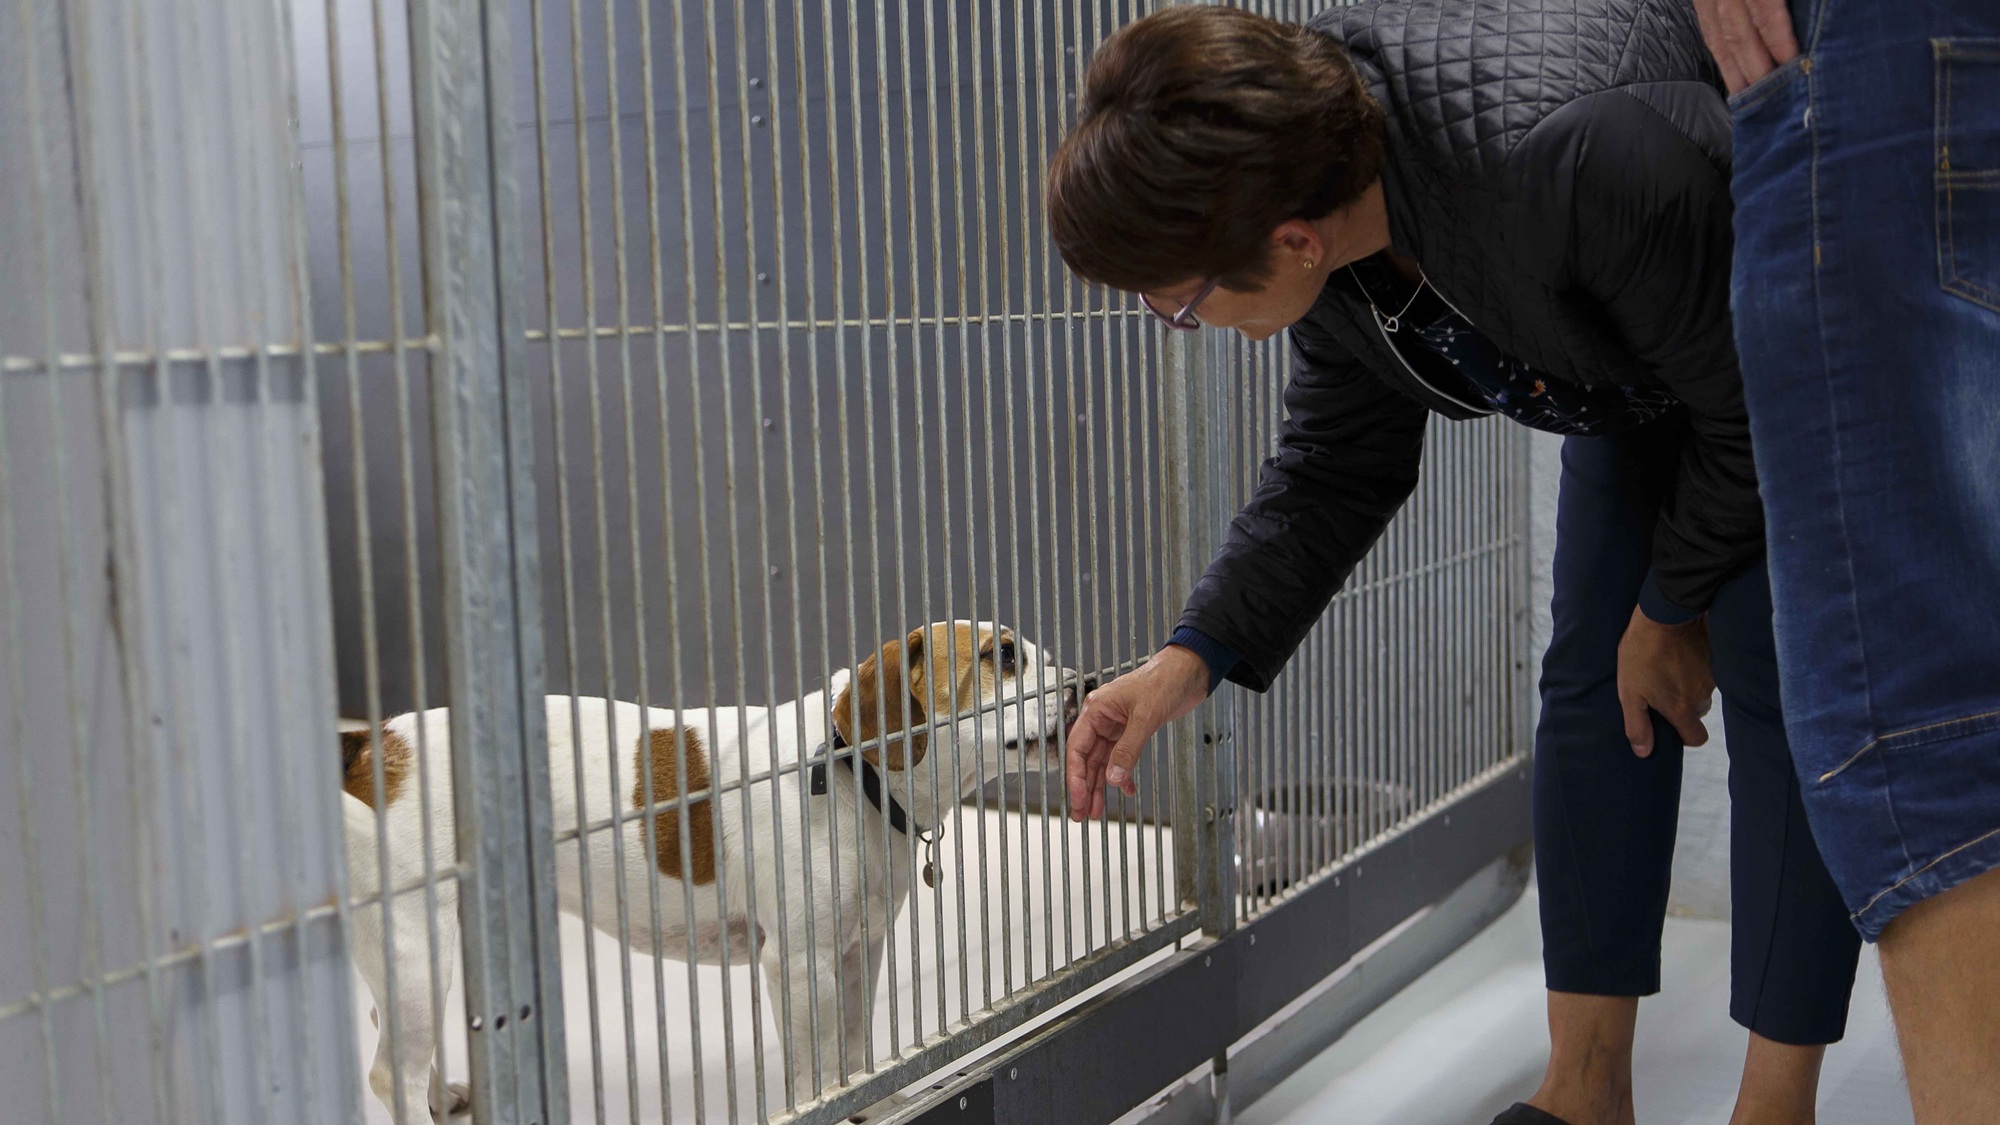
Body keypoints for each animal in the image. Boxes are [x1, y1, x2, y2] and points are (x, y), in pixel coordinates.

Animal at [341, 621, 1079, 1119]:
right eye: (1002, 656)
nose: (1084, 687)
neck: (851, 770)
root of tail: (374, 744)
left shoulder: (857, 952)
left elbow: (855, 1055)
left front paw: (871, 1098)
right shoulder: (800, 964)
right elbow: (819, 1074)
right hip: (416, 952)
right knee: (387, 1075)